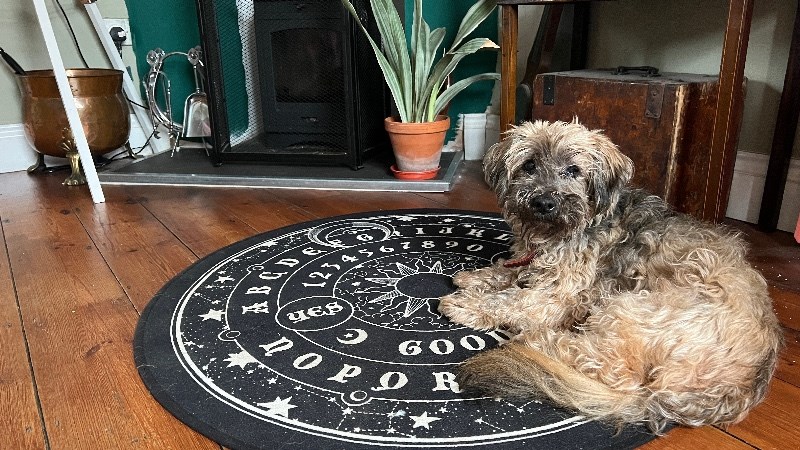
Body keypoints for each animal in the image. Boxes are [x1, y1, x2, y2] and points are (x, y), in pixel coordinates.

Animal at [438, 120, 783, 433]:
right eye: (529, 165)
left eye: (573, 170)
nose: (544, 203)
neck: (558, 234)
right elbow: (510, 272)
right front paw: (477, 277)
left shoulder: (555, 297)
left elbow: (512, 300)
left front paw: (466, 304)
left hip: (628, 309)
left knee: (609, 367)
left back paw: (541, 341)